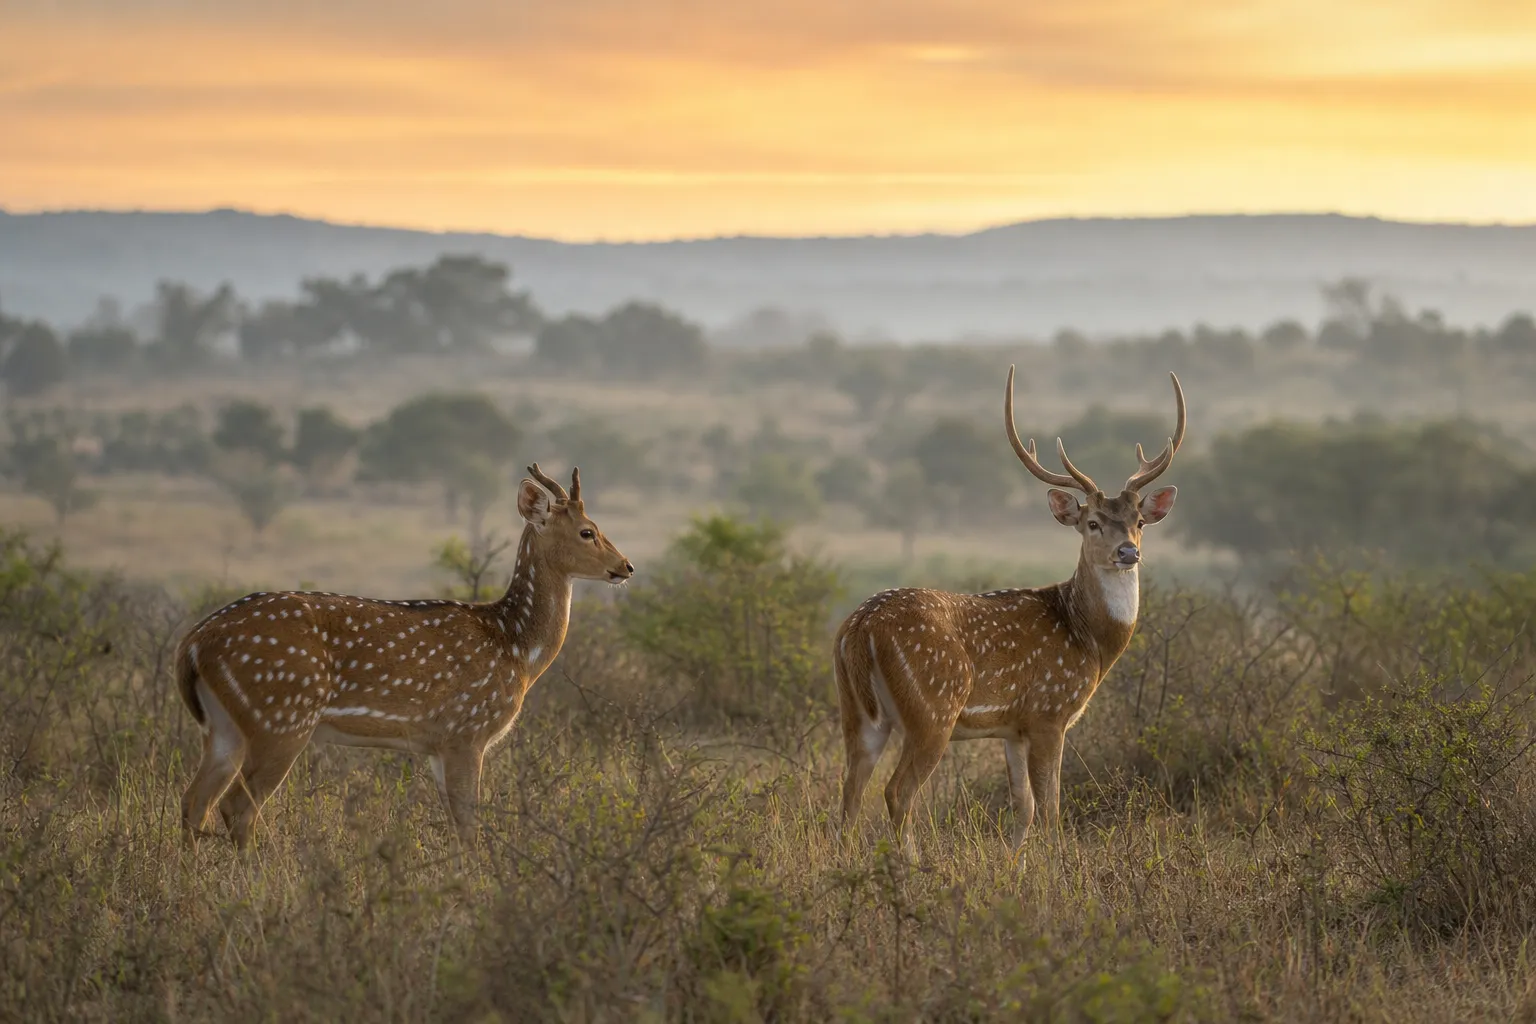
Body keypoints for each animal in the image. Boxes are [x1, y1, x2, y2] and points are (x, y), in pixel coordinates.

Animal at [175, 464, 633, 850]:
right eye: (588, 531)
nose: (626, 566)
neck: (516, 647)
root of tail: (194, 643)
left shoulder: (435, 745)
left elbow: (456, 824)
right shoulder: (467, 731)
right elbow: (469, 827)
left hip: (224, 726)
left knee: (194, 800)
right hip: (281, 718)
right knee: (236, 807)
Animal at [834, 367, 1185, 856]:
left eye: (1138, 521)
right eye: (1092, 522)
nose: (1127, 552)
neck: (1089, 640)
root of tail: (861, 627)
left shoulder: (1011, 728)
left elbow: (1025, 807)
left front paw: (1012, 864)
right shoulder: (1049, 712)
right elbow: (1052, 809)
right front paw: (1056, 865)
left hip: (857, 711)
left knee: (850, 791)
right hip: (933, 709)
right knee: (897, 791)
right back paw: (912, 862)